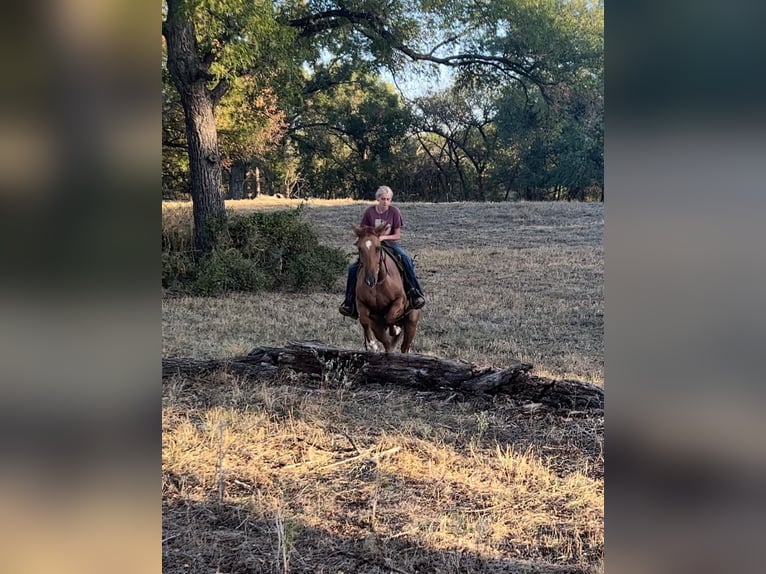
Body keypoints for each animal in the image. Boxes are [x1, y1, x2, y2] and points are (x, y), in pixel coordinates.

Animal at [352, 223, 424, 354]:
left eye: (378, 247)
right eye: (360, 248)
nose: (370, 280)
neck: (378, 282)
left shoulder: (400, 300)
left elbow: (390, 316)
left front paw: (395, 328)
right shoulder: (361, 303)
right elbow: (364, 320)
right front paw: (372, 345)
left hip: (412, 322)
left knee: (404, 347)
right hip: (377, 327)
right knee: (388, 344)